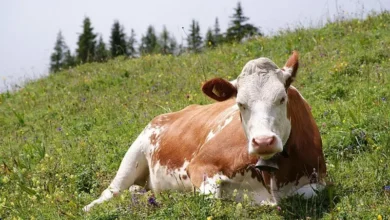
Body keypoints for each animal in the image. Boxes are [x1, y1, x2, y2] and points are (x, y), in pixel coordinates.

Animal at [84, 51, 328, 211]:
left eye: (282, 98)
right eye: (240, 104)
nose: (263, 141)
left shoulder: (321, 179)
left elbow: (307, 194)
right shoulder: (200, 165)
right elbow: (212, 199)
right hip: (133, 155)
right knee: (111, 191)